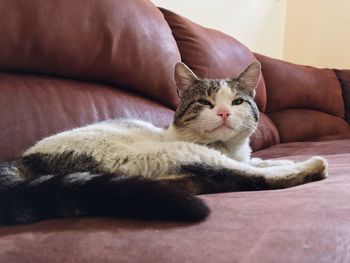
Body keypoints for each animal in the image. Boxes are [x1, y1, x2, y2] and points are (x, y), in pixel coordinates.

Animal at [0, 61, 328, 225]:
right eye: (205, 103)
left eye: (237, 102)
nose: (223, 112)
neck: (228, 148)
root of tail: (21, 160)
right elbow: (250, 168)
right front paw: (280, 162)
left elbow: (255, 160)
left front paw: (271, 158)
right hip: (169, 153)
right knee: (242, 176)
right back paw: (312, 165)